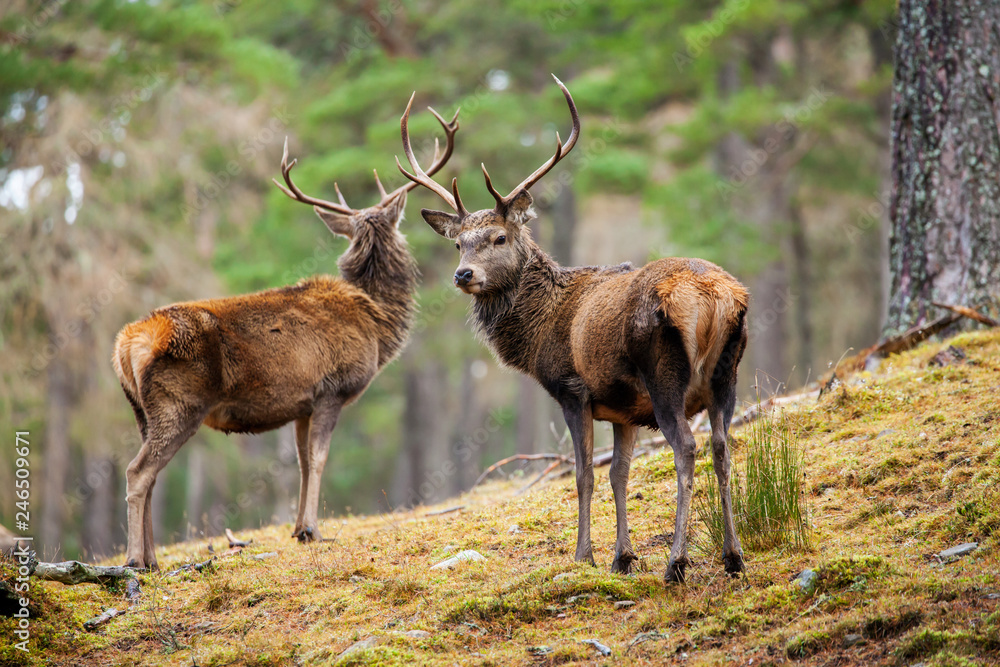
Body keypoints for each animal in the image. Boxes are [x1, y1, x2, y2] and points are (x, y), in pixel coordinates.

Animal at [112, 104, 459, 569]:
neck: (377, 321)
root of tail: (126, 345)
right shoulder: (333, 388)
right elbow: (320, 457)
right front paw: (313, 529)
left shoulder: (301, 405)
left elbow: (301, 463)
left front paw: (298, 529)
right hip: (179, 402)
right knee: (138, 472)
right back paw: (134, 560)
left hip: (141, 411)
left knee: (149, 472)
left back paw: (150, 558)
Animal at [397, 76, 749, 583]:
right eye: (459, 244)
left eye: (499, 237)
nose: (463, 275)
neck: (538, 330)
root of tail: (716, 297)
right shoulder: (625, 408)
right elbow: (618, 474)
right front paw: (622, 558)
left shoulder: (572, 387)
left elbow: (584, 474)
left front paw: (584, 555)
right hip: (728, 375)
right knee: (723, 447)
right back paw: (733, 556)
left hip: (665, 376)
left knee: (686, 448)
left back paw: (676, 562)